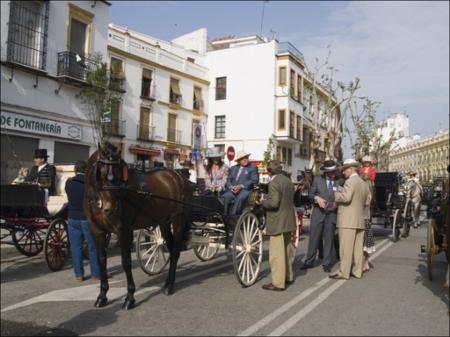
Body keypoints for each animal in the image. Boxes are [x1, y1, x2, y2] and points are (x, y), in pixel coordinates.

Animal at [83, 143, 192, 308]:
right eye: (100, 173)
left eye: (119, 175)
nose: (110, 208)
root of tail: (179, 177)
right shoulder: (97, 231)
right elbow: (101, 260)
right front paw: (102, 295)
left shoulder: (123, 230)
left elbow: (126, 262)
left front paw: (130, 297)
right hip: (164, 223)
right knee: (171, 248)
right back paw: (167, 282)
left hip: (178, 221)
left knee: (175, 252)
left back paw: (170, 286)